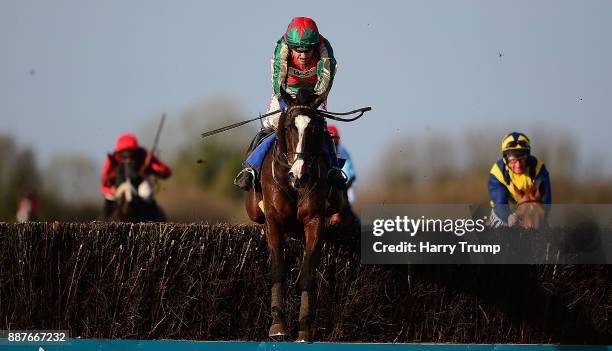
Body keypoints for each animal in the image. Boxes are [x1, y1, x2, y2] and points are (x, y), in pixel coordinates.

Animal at [244, 88, 344, 344]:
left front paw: (304, 328)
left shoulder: (314, 220)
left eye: (316, 128)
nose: (299, 174)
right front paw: (277, 326)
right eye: (289, 126)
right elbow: (278, 268)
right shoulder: (274, 220)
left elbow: (307, 274)